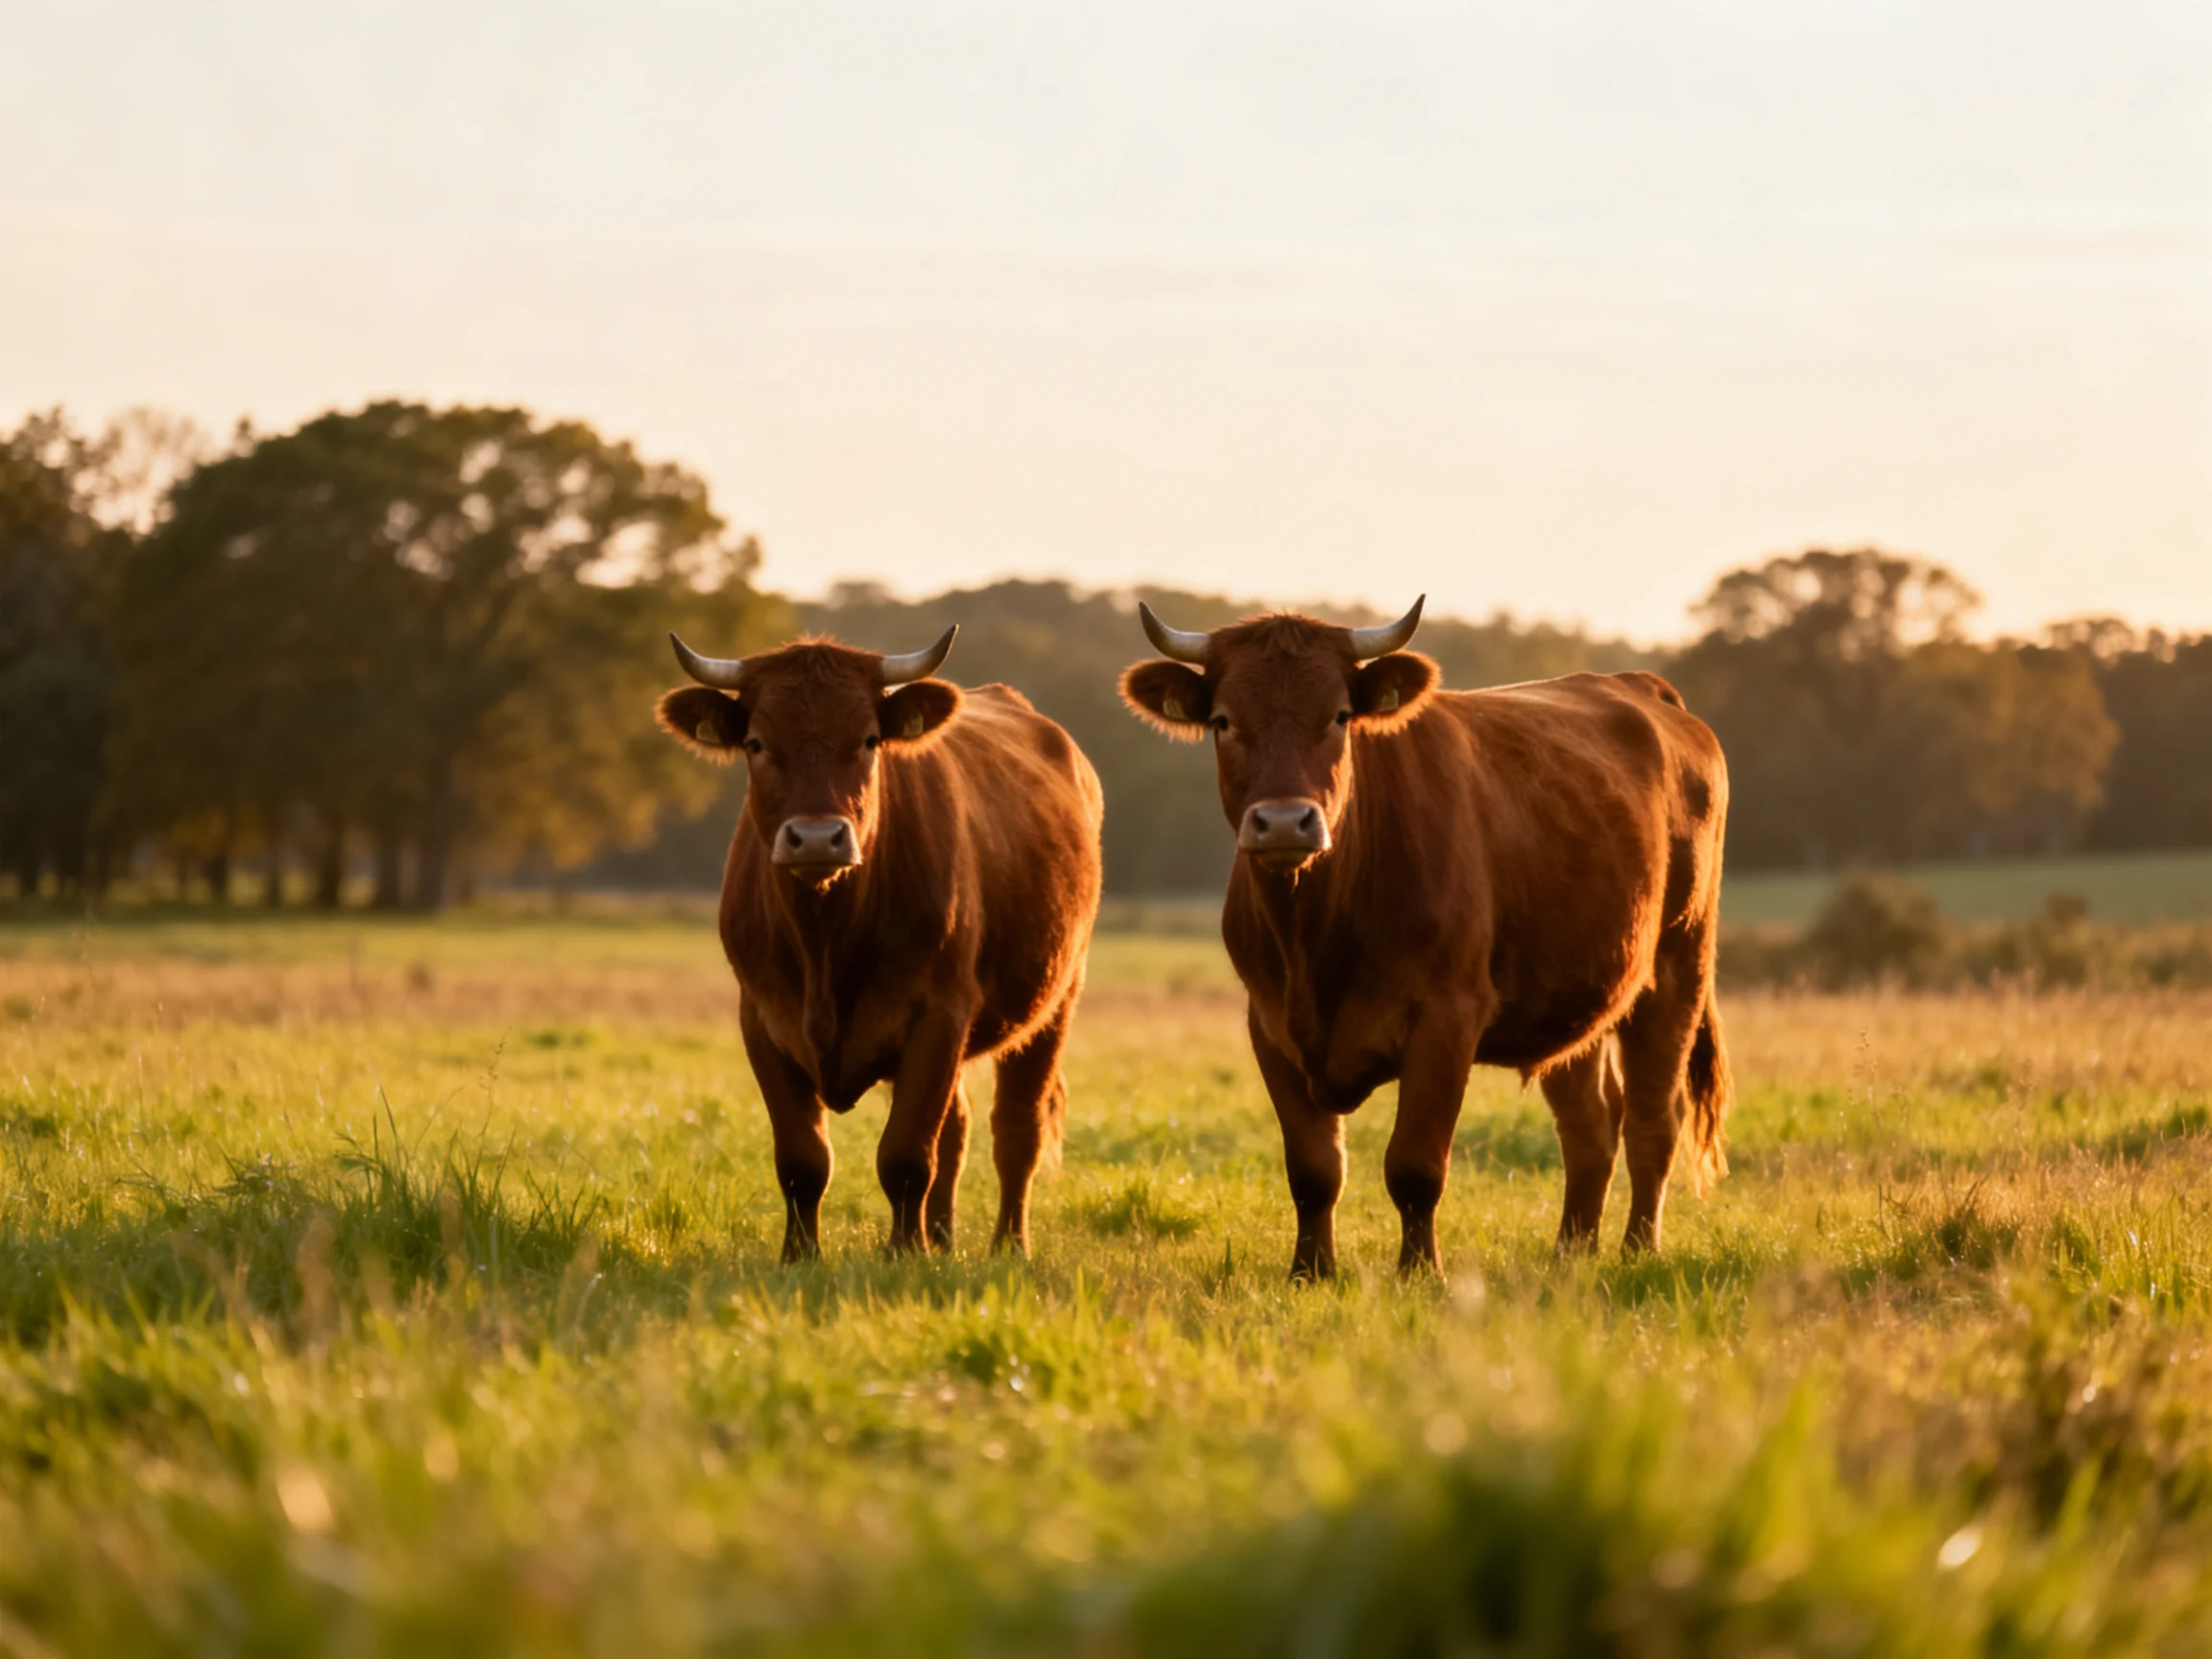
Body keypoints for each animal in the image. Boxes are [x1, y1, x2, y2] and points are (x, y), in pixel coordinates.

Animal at [656, 625, 1104, 1261]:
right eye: (757, 744)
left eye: (868, 740)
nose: (817, 837)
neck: (824, 940)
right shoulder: (761, 1019)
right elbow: (803, 1160)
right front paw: (801, 1256)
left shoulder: (939, 1014)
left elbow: (907, 1155)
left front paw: (903, 1253)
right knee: (958, 1128)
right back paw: (942, 1239)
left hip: (1056, 999)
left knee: (1016, 1128)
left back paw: (1006, 1245)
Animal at [1119, 598, 1731, 1278]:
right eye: (1224, 721)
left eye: (1339, 716)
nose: (1283, 822)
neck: (1316, 939)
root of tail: (1638, 687)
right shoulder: (1269, 1026)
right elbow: (1313, 1170)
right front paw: (1310, 1273)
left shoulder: (1448, 1017)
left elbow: (1414, 1165)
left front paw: (1418, 1271)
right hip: (1575, 994)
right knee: (1591, 1124)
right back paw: (1570, 1254)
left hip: (1678, 965)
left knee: (1654, 1118)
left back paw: (1637, 1250)